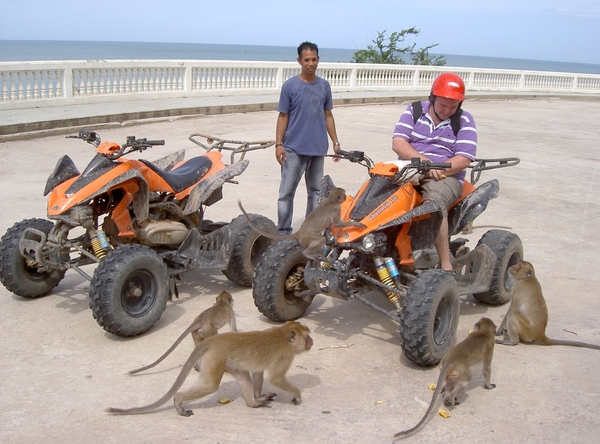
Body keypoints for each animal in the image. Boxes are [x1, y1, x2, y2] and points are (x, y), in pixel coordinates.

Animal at [106, 320, 314, 416]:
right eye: (306, 336)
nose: (311, 341)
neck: (283, 334)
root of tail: (214, 340)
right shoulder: (285, 356)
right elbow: (276, 378)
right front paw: (297, 395)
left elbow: (257, 373)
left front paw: (258, 395)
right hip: (215, 359)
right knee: (210, 385)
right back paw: (178, 400)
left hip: (225, 361)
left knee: (242, 375)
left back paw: (252, 403)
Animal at [238, 186, 366, 260]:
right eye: (343, 195)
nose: (345, 196)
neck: (330, 200)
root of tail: (299, 232)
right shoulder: (336, 209)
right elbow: (335, 224)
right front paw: (357, 225)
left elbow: (333, 226)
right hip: (307, 237)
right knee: (320, 239)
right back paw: (306, 253)